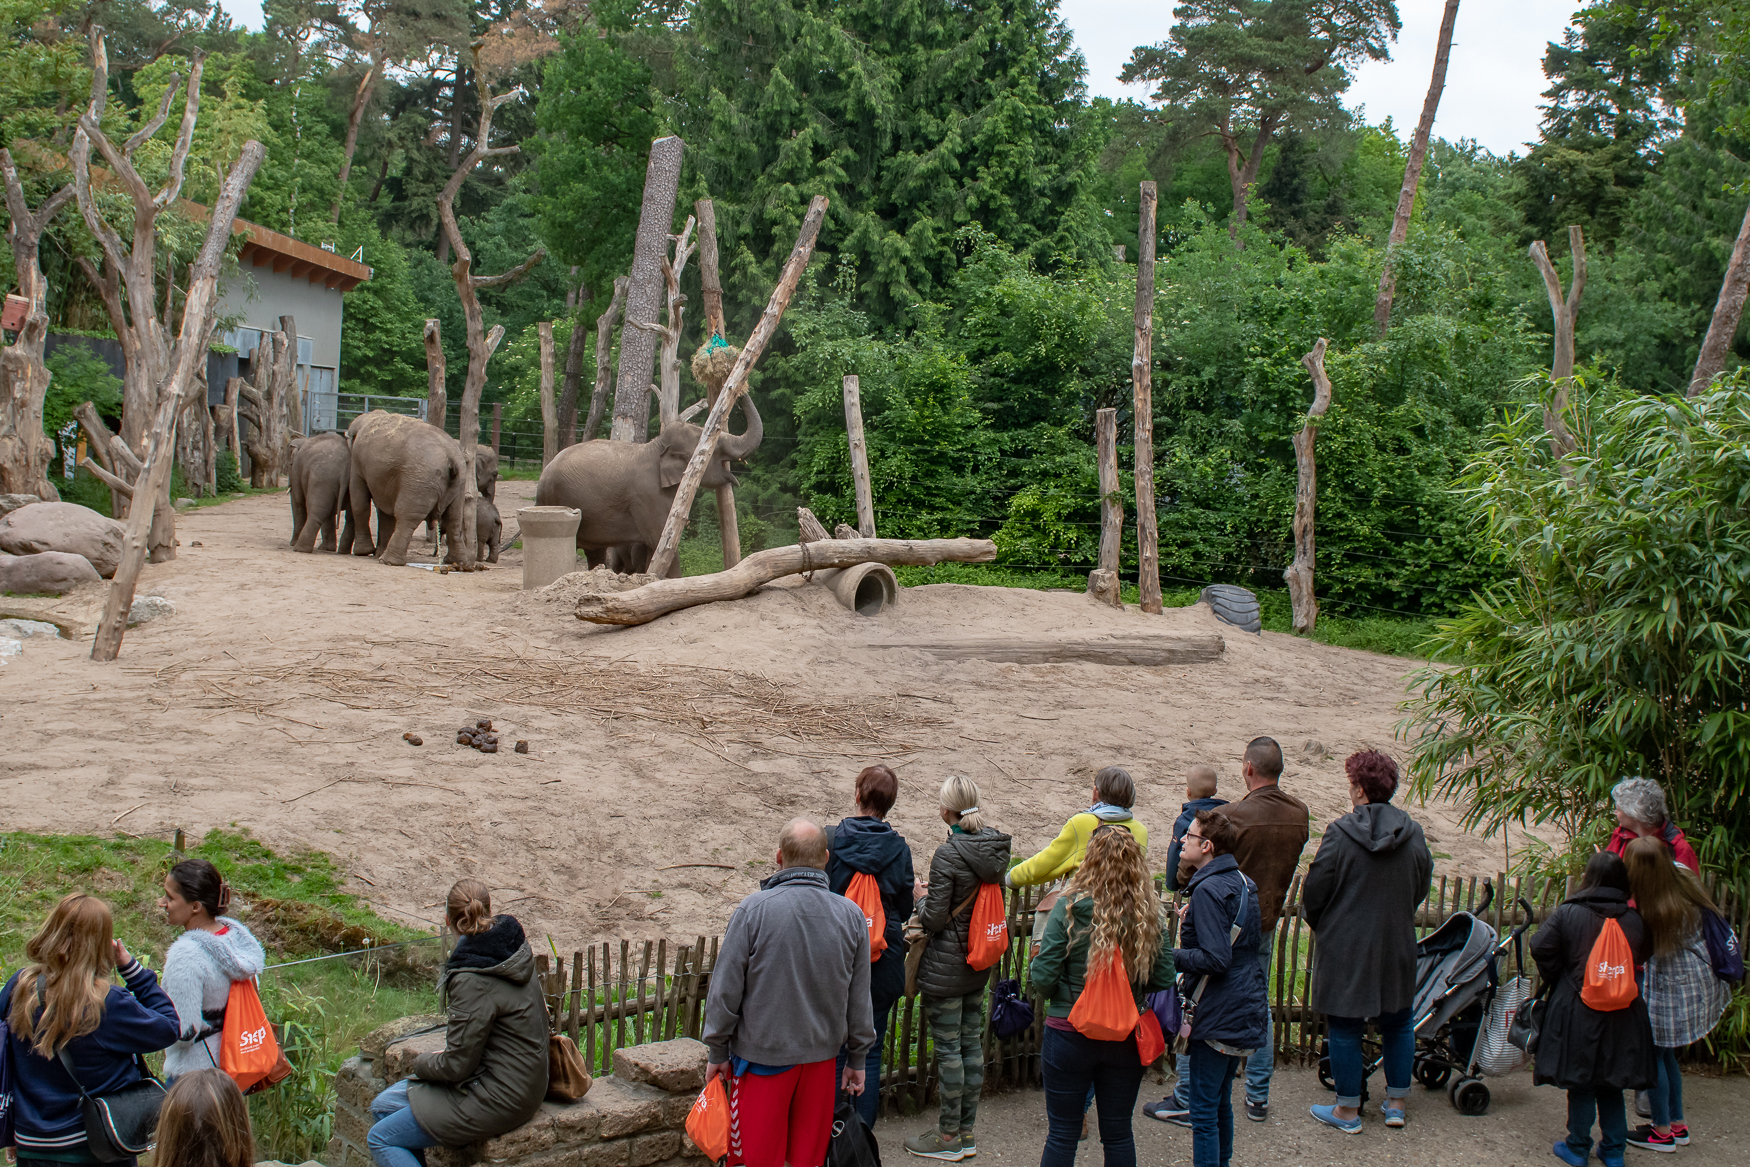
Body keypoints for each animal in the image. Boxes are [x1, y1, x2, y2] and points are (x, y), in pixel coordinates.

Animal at [341, 411, 462, 566]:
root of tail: (451, 458)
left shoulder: (357, 461)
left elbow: (359, 502)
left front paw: (363, 552)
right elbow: (385, 511)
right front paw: (374, 552)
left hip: (419, 482)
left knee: (406, 517)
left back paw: (387, 561)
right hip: (458, 485)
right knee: (454, 519)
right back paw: (457, 563)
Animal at [525, 395, 759, 577]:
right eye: (712, 448)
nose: (740, 394)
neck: (656, 447)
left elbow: (650, 547)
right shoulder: (648, 496)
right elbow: (661, 541)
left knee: (595, 551)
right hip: (552, 499)